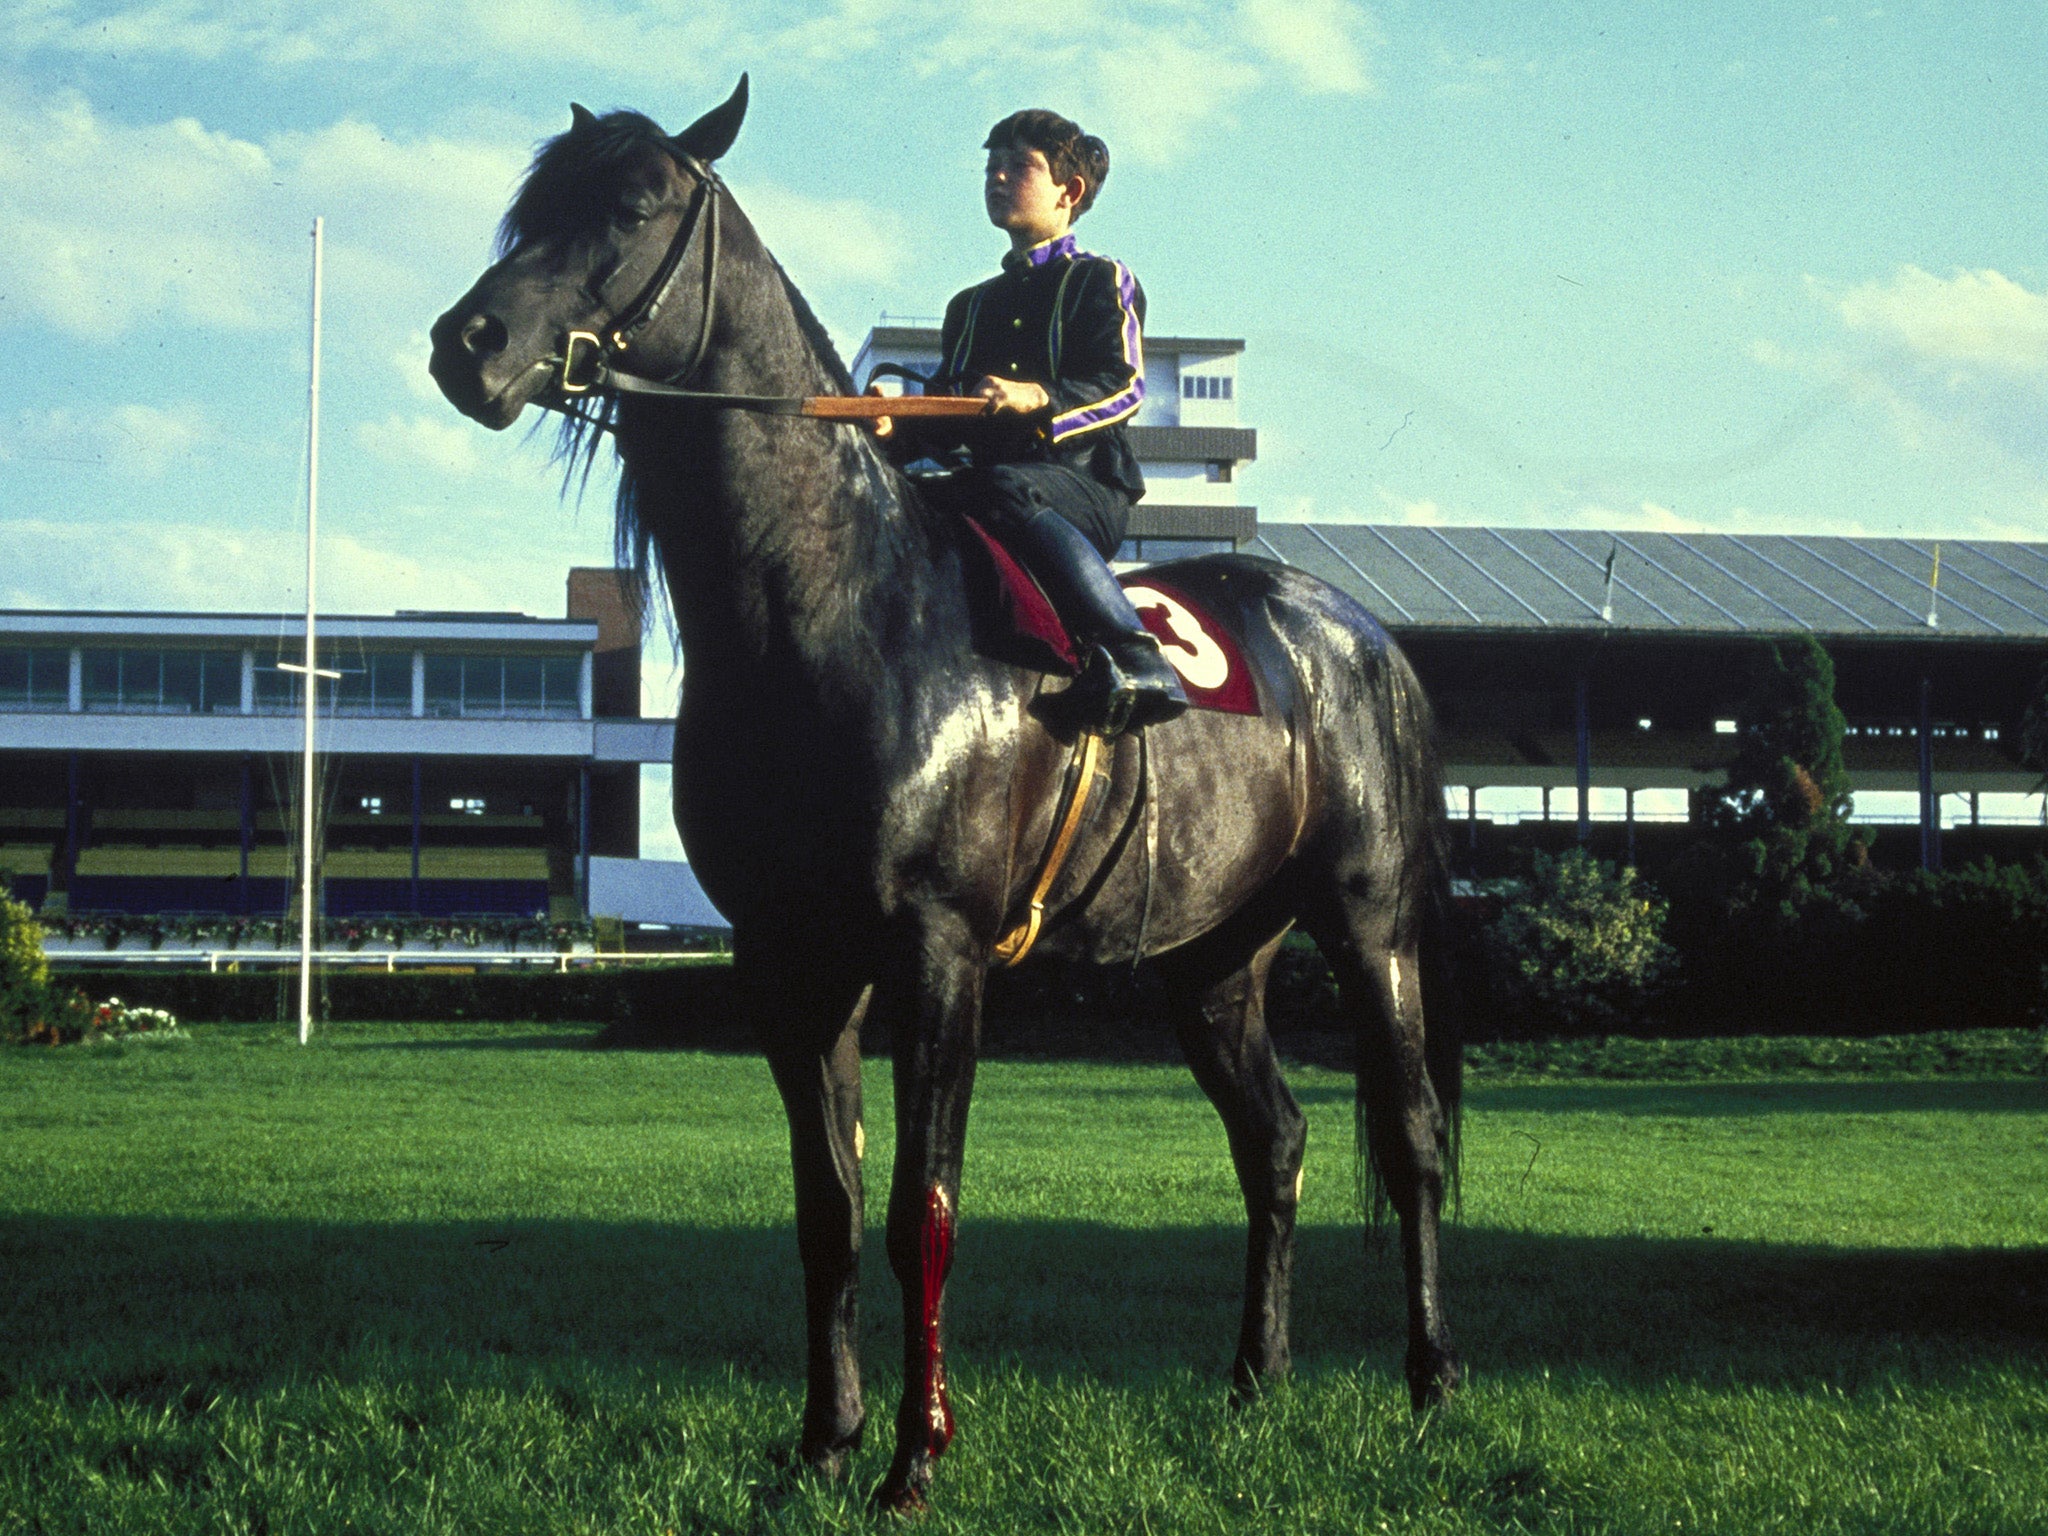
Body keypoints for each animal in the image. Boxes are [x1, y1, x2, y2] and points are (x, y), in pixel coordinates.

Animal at [428, 81, 1458, 1515]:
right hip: (1211, 964)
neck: (833, 604)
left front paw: (913, 1460)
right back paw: (1253, 1384)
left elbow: (924, 1206)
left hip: (1371, 929)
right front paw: (822, 1440)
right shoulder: (789, 963)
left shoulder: (938, 953)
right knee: (1278, 1143)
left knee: (1409, 1141)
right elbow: (829, 1209)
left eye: (630, 205)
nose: (465, 344)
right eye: (529, 208)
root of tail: (1357, 635)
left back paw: (1430, 1386)